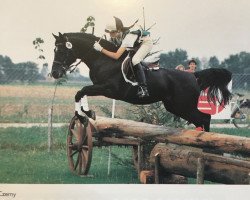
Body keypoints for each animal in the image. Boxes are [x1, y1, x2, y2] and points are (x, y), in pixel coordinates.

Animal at [50, 32, 232, 132]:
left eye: (61, 50)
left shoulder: (109, 89)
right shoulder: (101, 88)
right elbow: (80, 93)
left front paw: (86, 114)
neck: (103, 60)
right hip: (174, 106)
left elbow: (82, 91)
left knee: (204, 118)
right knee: (200, 120)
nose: (54, 73)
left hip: (184, 105)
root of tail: (194, 76)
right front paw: (82, 114)